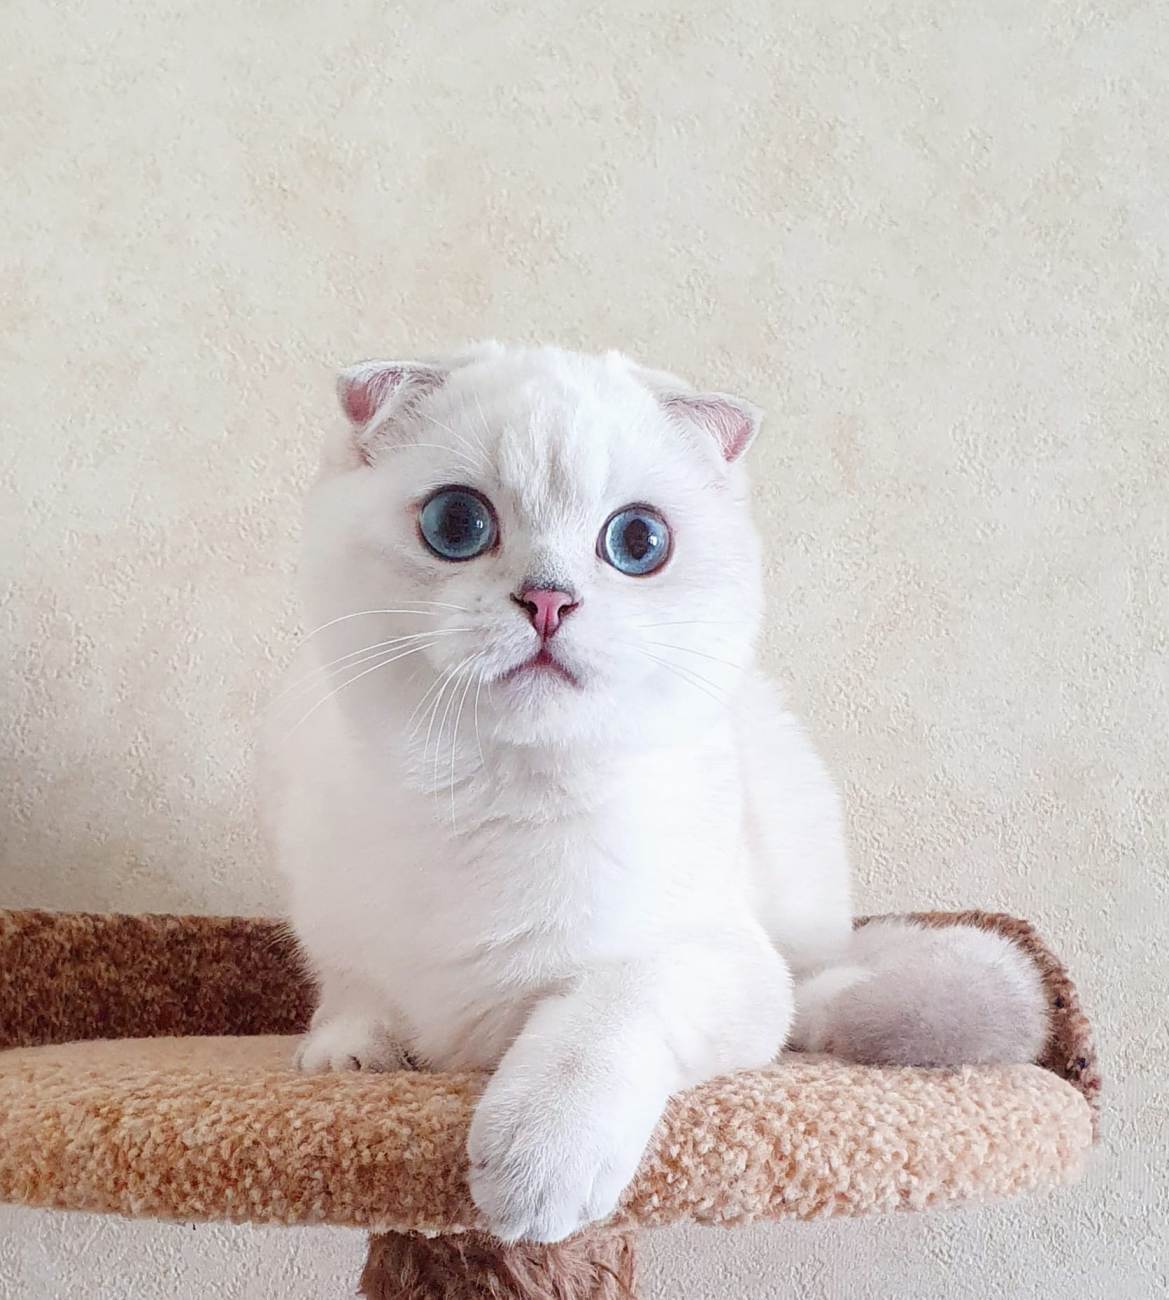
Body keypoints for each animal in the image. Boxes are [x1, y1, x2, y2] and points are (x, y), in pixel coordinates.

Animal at [262, 342, 1048, 1244]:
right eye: (456, 524)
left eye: (637, 541)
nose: (548, 599)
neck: (486, 794)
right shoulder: (339, 933)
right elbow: (354, 995)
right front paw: (351, 1055)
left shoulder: (703, 959)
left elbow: (602, 1013)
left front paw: (536, 1167)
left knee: (820, 995)